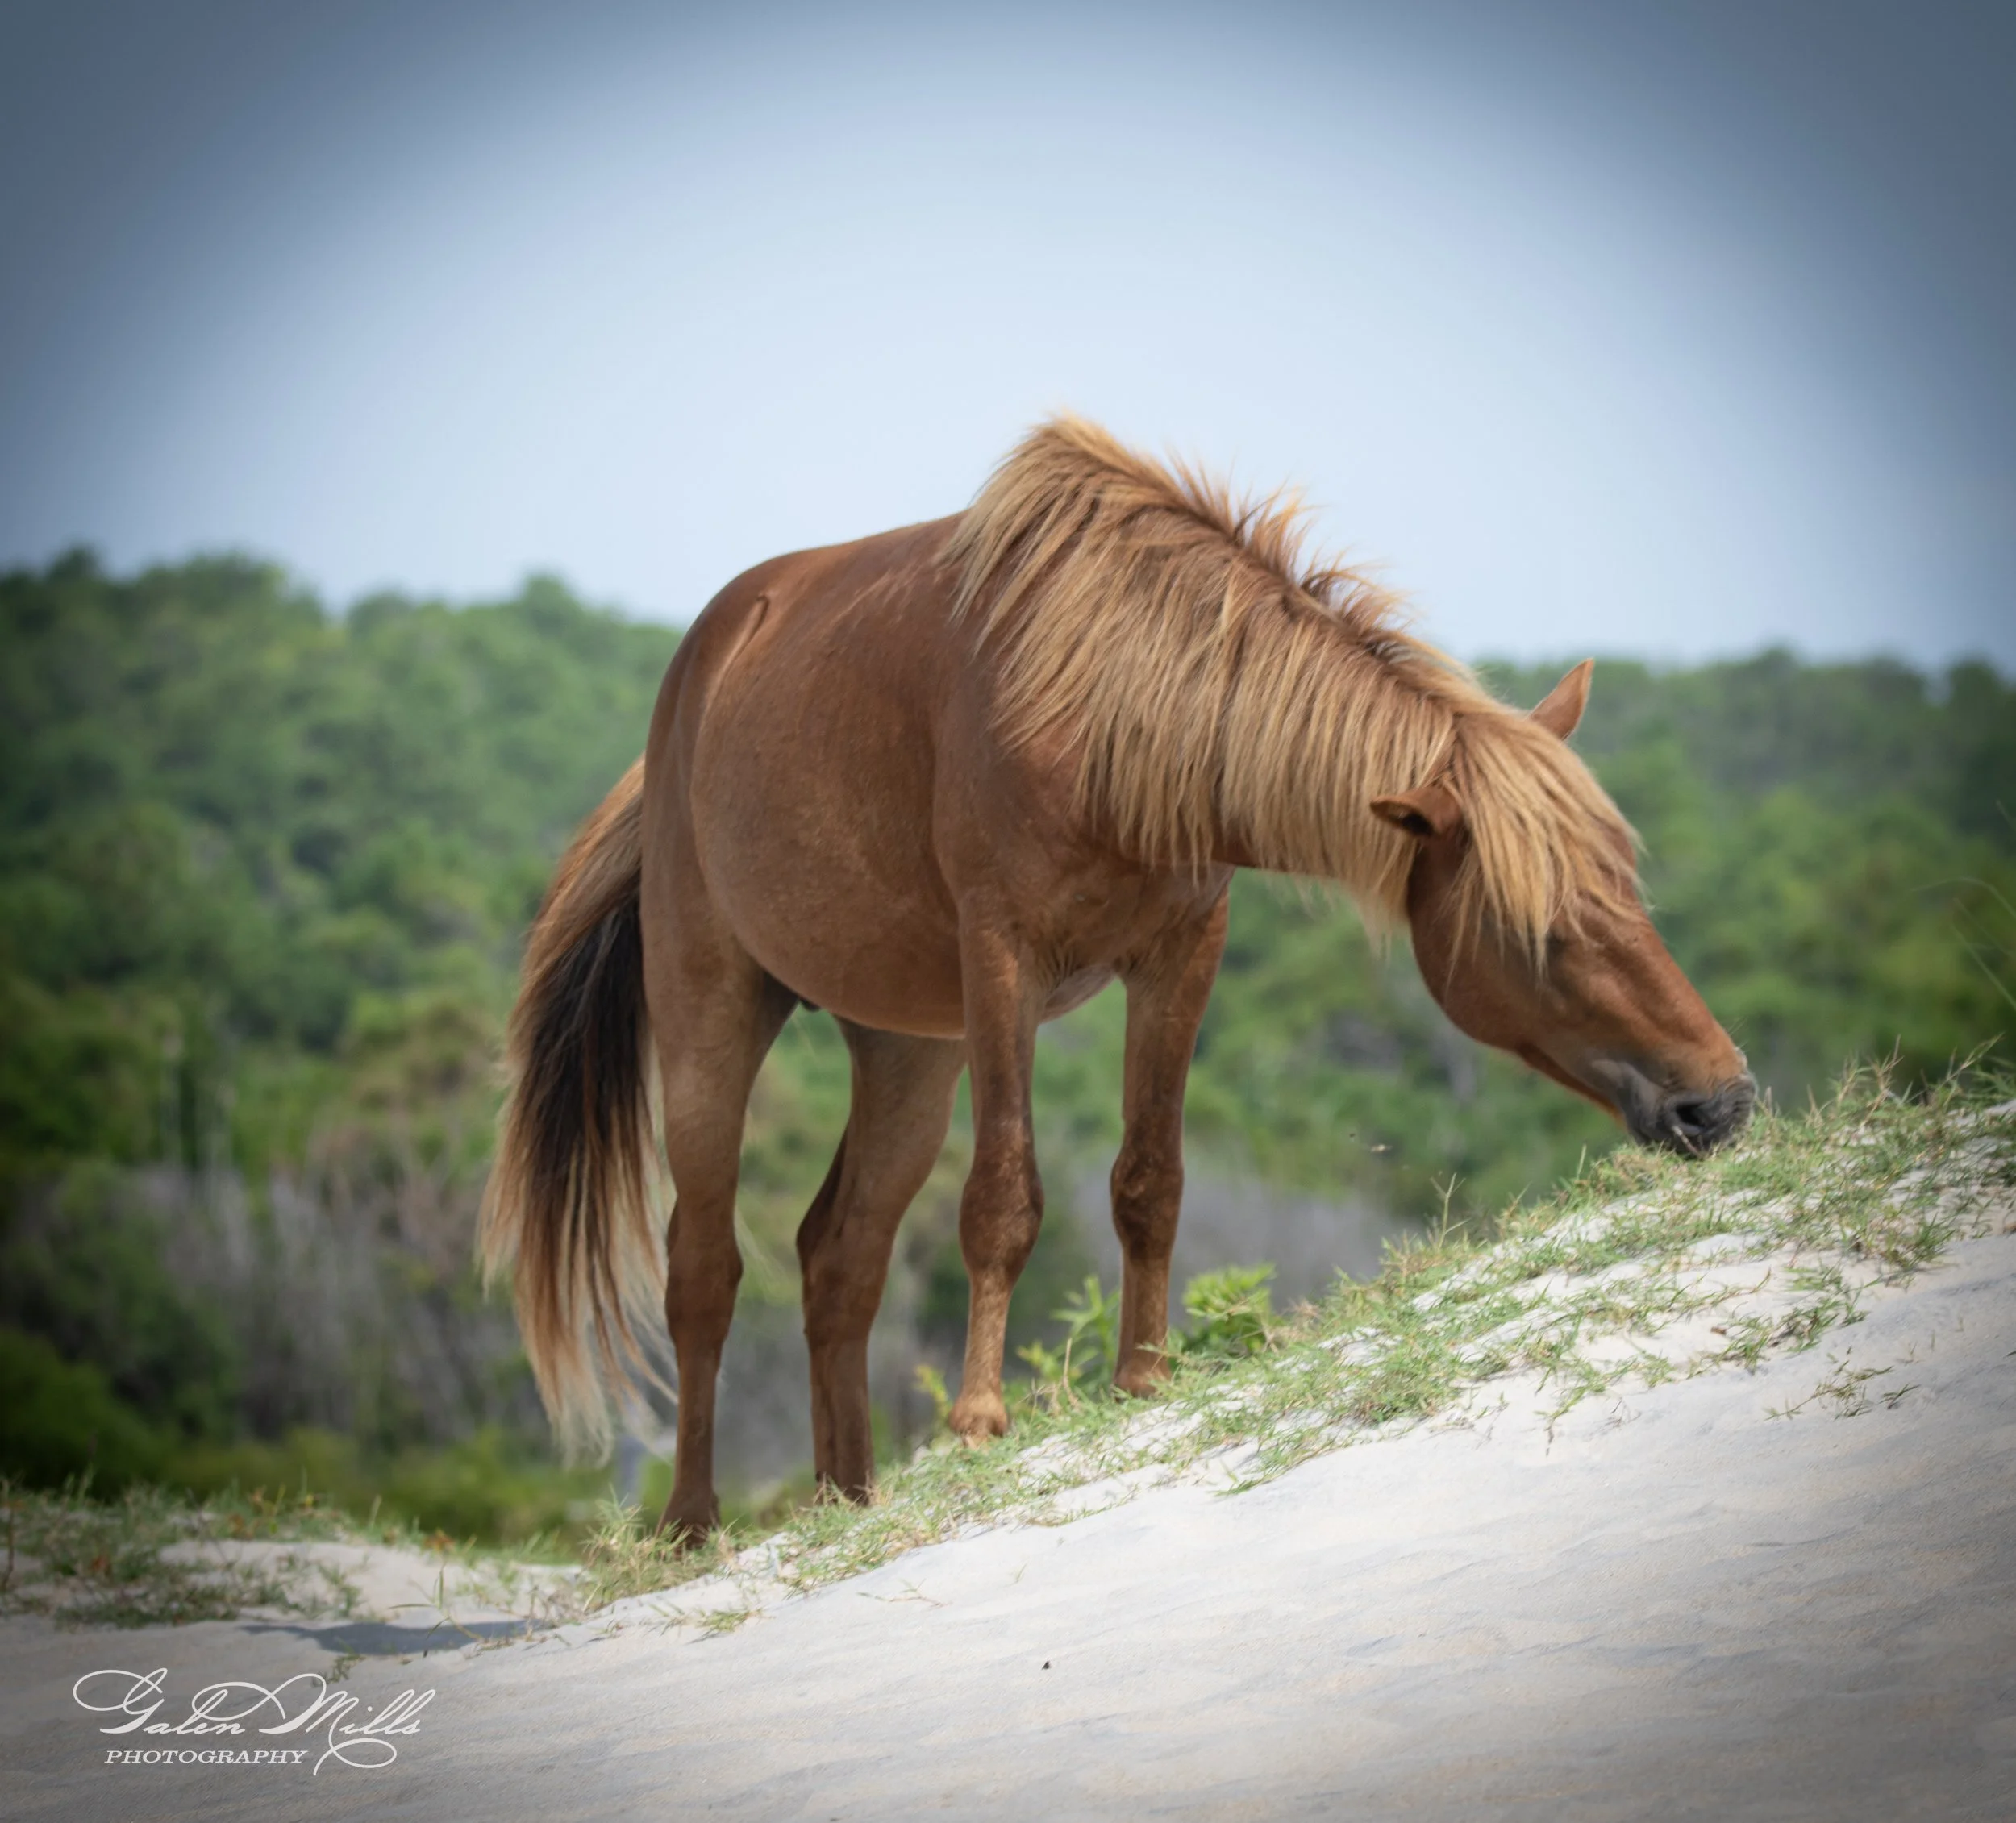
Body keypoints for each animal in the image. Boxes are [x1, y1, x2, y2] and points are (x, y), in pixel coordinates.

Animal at [479, 417, 1756, 1538]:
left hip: (906, 1044)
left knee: (837, 1255)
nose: (1722, 1098)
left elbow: (1152, 1177)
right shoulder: (1003, 959)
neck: (1108, 708)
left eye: (1628, 881)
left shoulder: (1179, 956)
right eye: (1538, 930)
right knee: (703, 1268)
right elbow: (1004, 1198)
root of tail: (692, 686)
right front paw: (981, 1419)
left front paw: (1144, 1381)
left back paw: (850, 1498)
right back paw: (692, 1524)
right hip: (715, 1008)